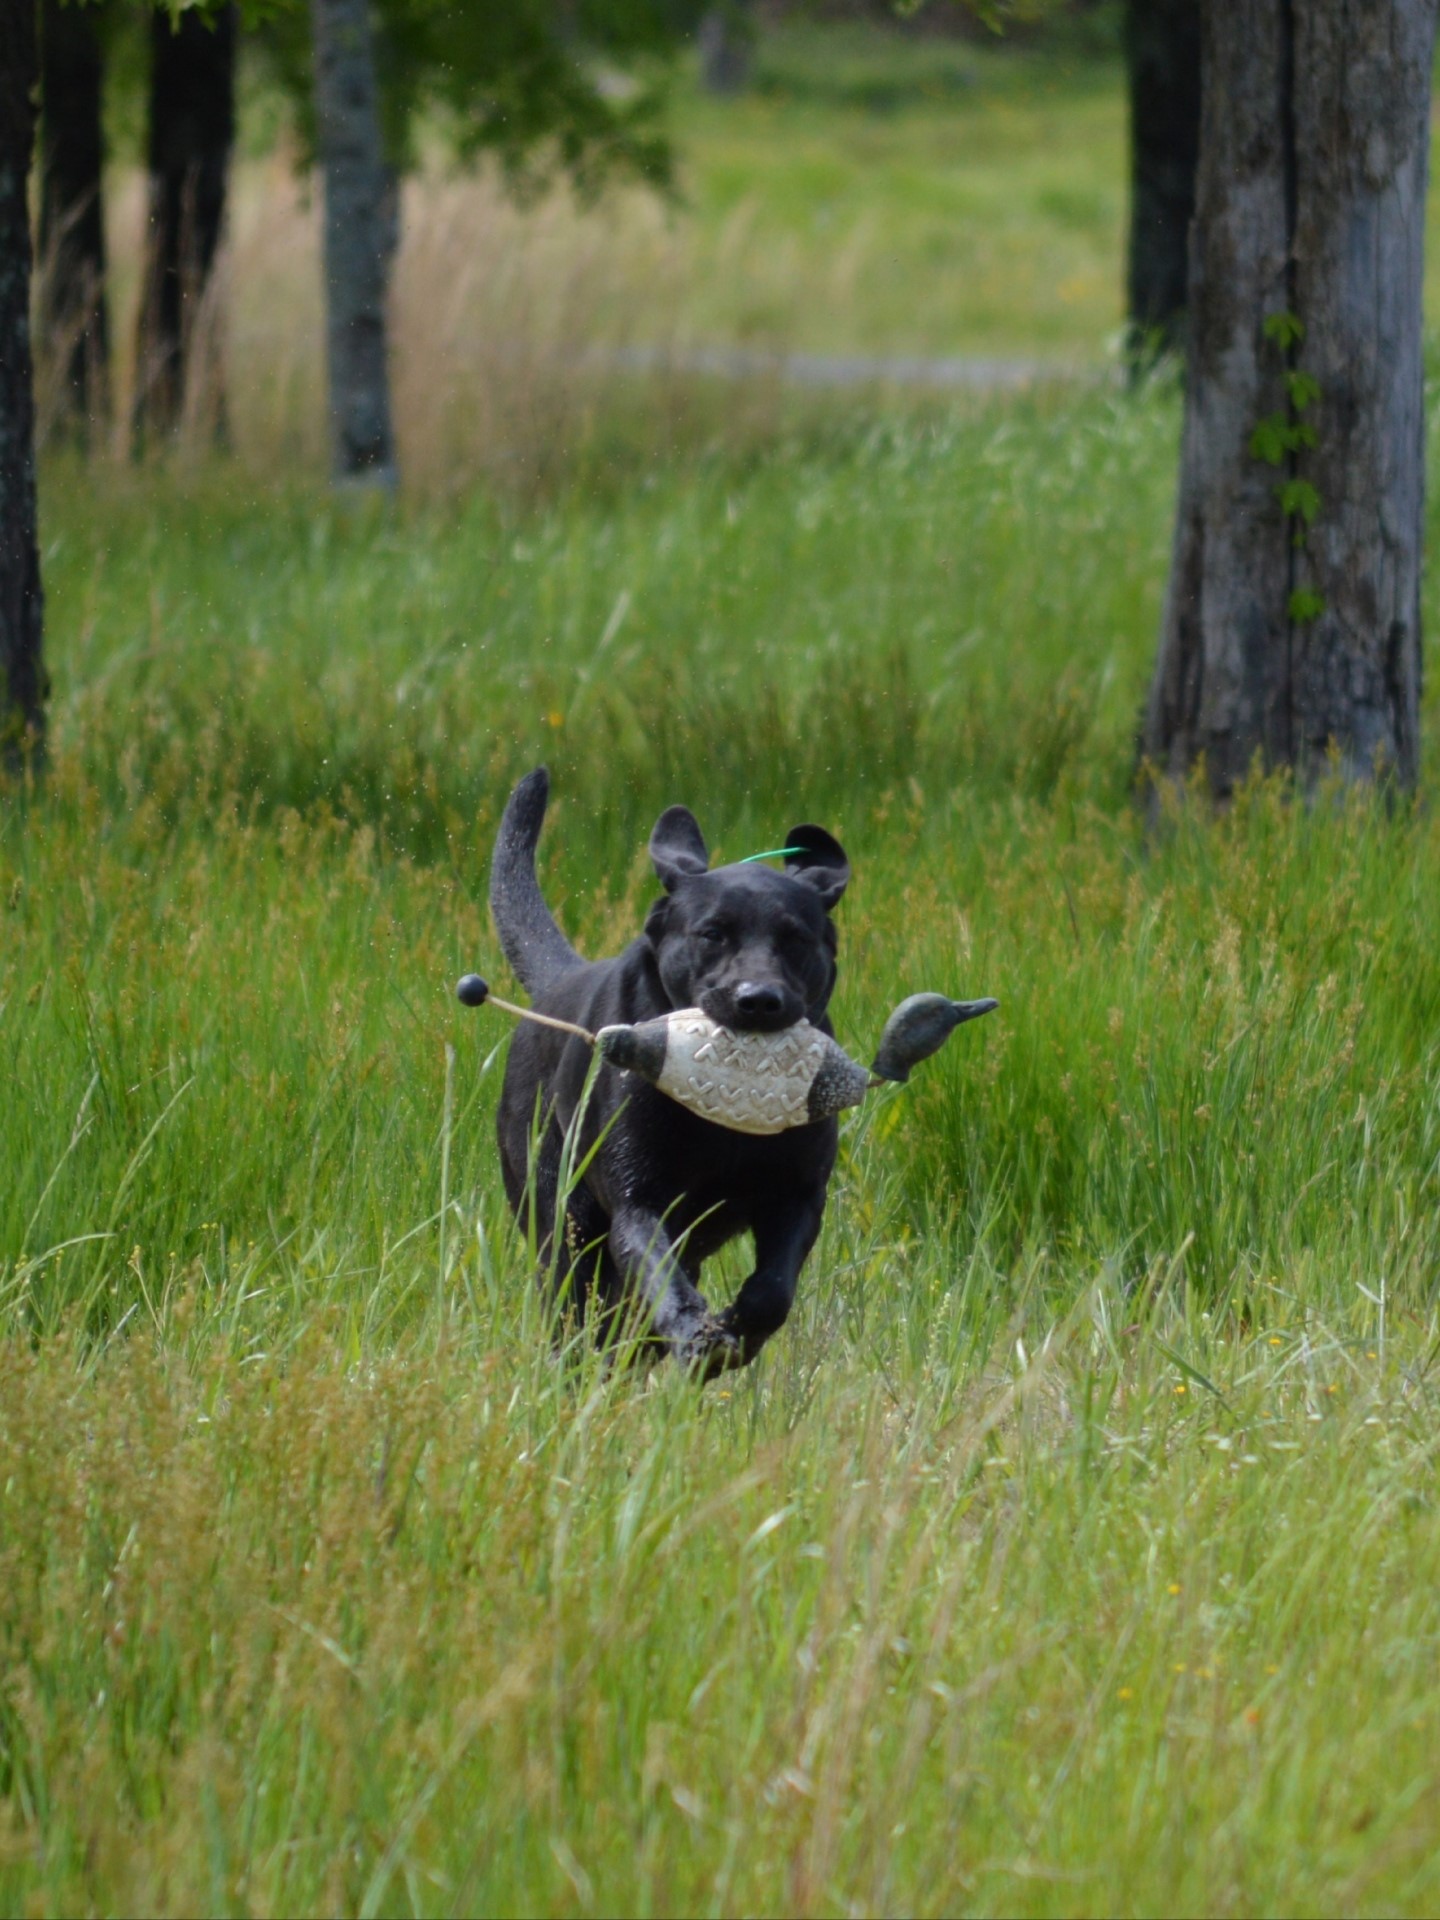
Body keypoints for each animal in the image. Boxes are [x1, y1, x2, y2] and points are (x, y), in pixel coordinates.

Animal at [491, 756, 852, 1374]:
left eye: (795, 938)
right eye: (712, 934)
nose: (759, 1000)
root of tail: (561, 979)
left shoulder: (798, 1195)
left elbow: (773, 1289)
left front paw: (733, 1336)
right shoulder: (639, 1201)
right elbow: (659, 1275)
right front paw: (697, 1333)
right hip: (560, 1214)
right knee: (573, 1302)